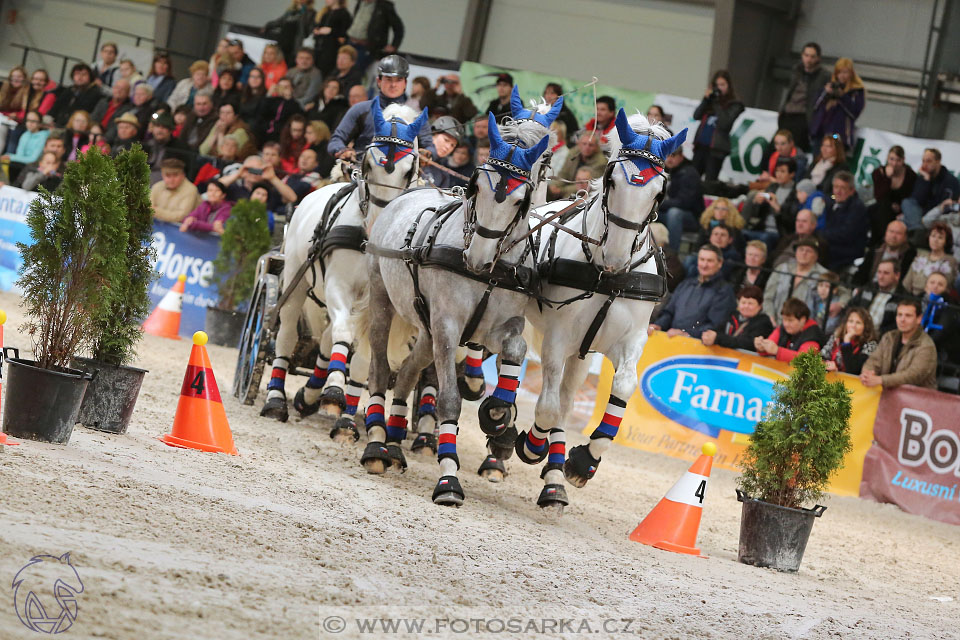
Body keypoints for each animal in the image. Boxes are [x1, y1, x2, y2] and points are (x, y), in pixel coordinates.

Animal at [262, 100, 428, 442]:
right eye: (368, 163)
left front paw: (345, 419)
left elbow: (364, 358)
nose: (379, 224)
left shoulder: (379, 303)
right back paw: (276, 400)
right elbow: (344, 335)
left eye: (409, 169)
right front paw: (335, 393)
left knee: (327, 341)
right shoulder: (339, 285)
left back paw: (311, 395)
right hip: (296, 283)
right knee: (286, 336)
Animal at [362, 107, 556, 504]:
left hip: (426, 329)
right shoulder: (449, 326)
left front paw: (498, 414)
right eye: (477, 187)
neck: (488, 271)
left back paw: (394, 444)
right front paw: (448, 478)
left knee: (408, 372)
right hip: (383, 300)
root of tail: (402, 197)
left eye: (521, 200)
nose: (478, 258)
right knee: (379, 369)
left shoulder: (496, 325)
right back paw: (375, 445)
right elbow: (448, 401)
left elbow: (516, 348)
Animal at [516, 109, 688, 510]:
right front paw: (530, 446)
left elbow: (623, 386)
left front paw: (582, 461)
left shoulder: (630, 339)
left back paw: (554, 477)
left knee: (566, 399)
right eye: (611, 179)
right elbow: (546, 407)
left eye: (660, 192)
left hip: (583, 353)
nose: (616, 257)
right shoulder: (557, 339)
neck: (606, 277)